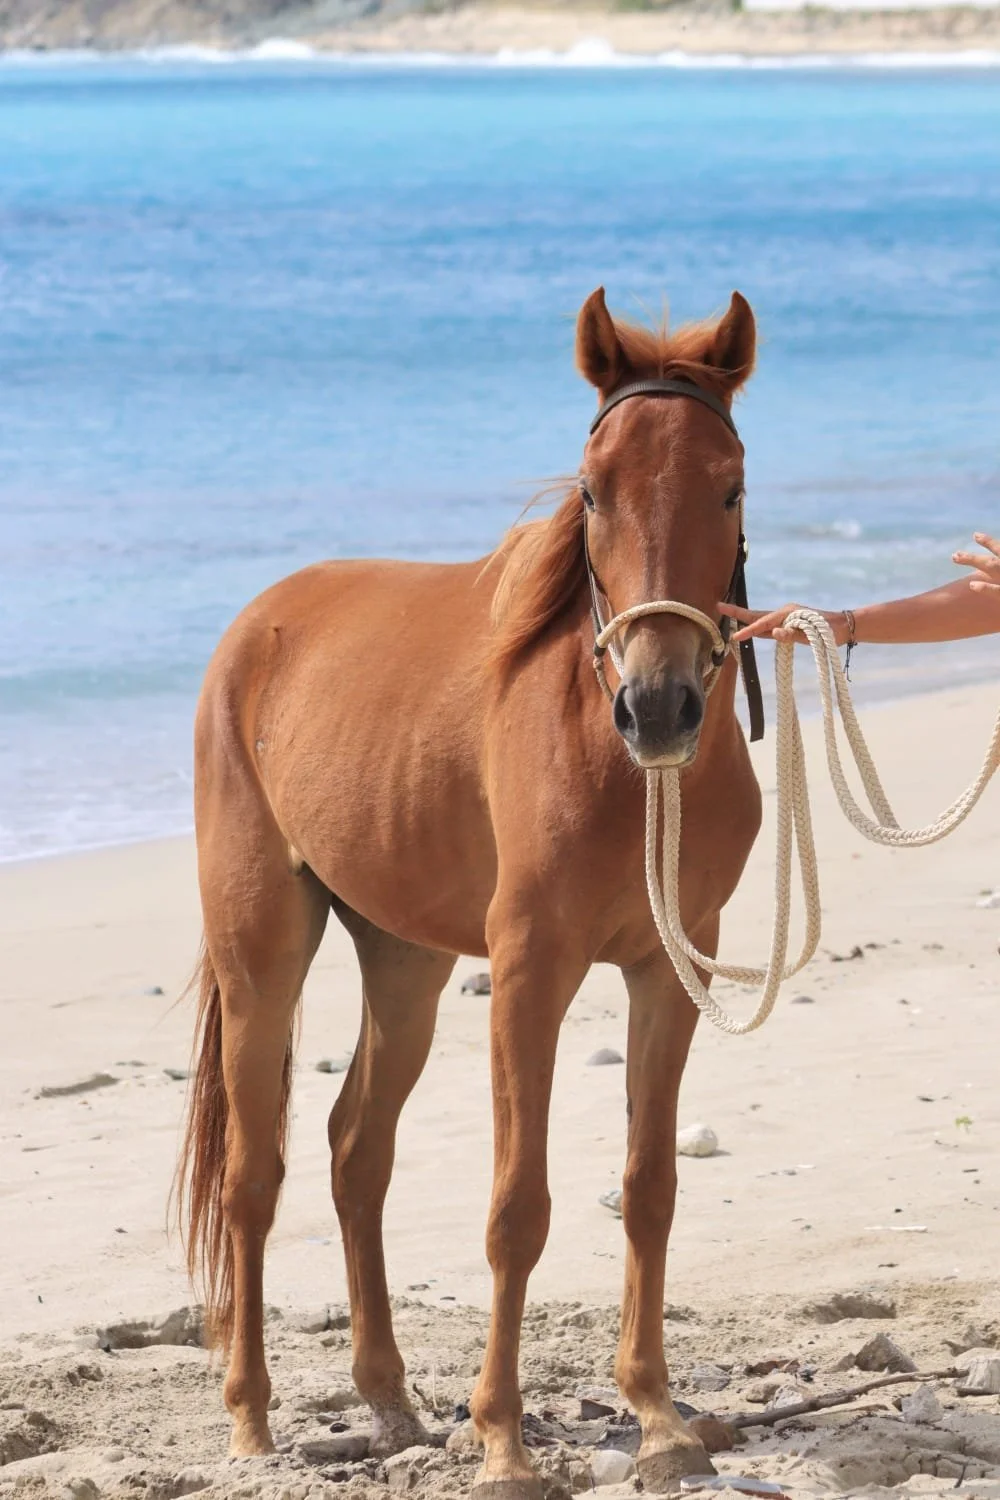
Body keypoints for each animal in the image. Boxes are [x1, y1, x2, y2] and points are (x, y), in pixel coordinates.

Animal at [177, 285, 763, 1497]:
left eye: (728, 484)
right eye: (591, 491)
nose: (659, 708)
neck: (616, 762)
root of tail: (258, 624)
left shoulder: (666, 970)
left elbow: (648, 1187)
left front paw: (659, 1419)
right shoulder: (533, 972)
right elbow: (515, 1209)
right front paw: (502, 1439)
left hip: (404, 960)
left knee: (357, 1151)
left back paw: (390, 1401)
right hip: (262, 957)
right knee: (256, 1176)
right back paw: (252, 1420)